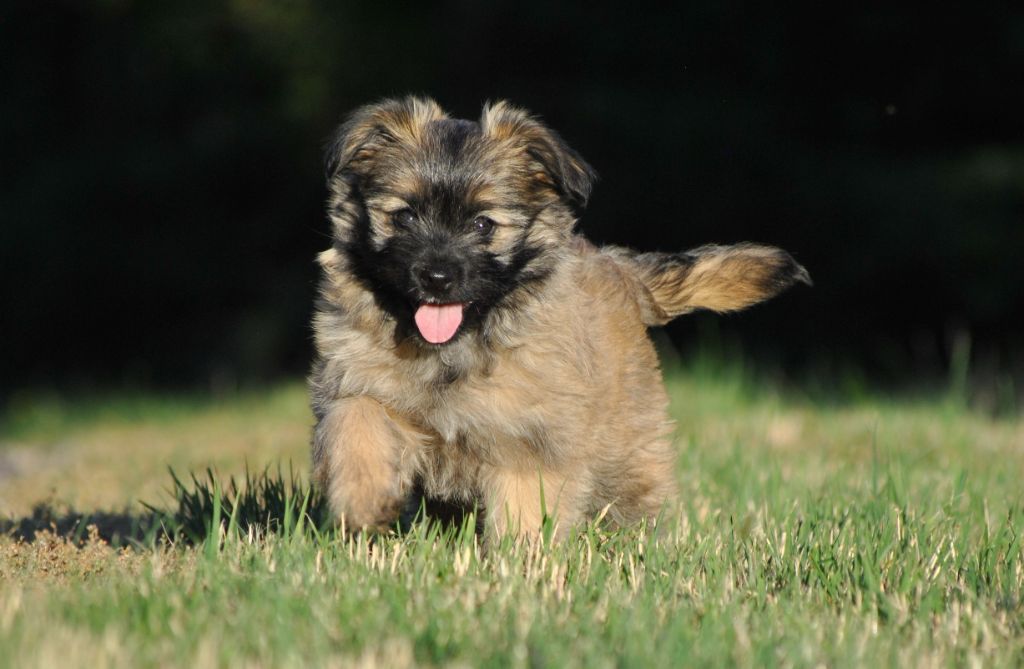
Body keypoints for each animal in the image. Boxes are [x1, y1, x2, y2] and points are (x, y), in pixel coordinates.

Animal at [309, 96, 806, 540]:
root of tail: (619, 267)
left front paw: (522, 563)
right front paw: (364, 502)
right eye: (405, 216)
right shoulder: (354, 379)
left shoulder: (531, 434)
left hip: (627, 446)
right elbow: (358, 425)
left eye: (484, 224)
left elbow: (526, 503)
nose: (436, 277)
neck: (453, 349)